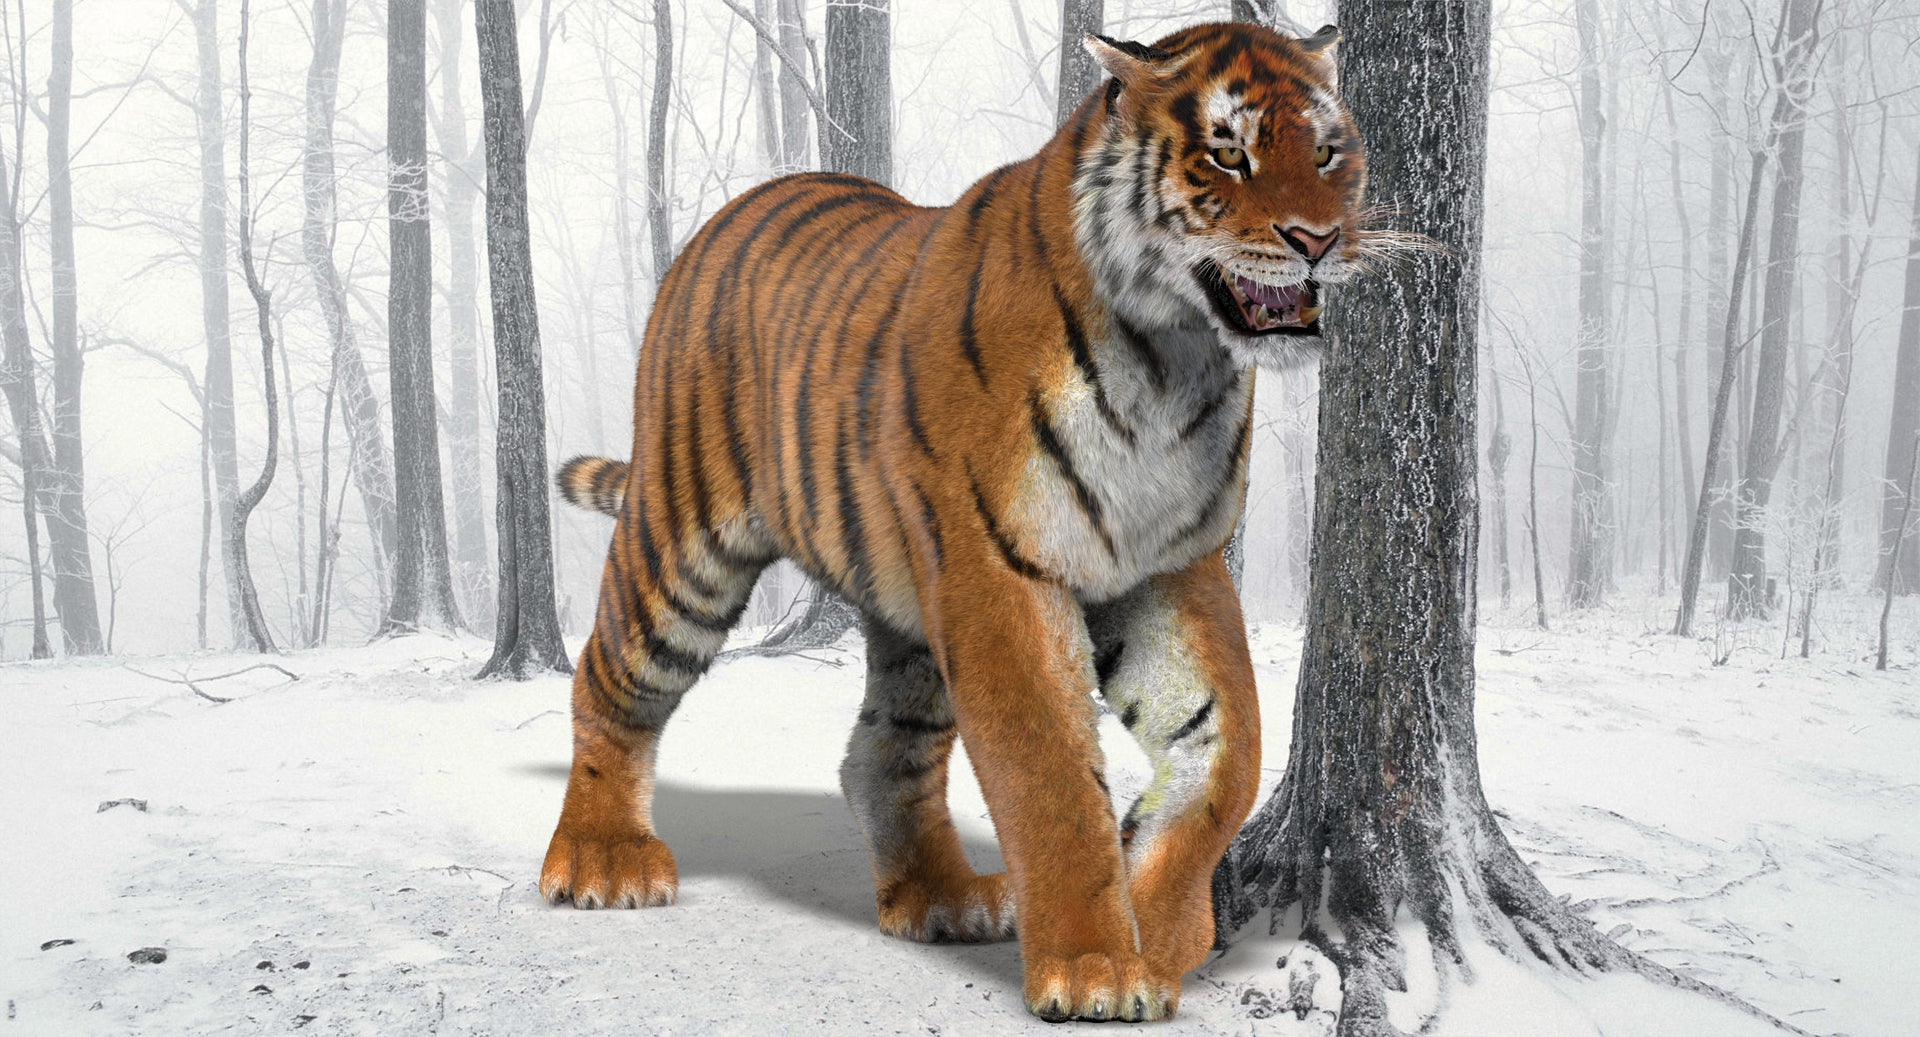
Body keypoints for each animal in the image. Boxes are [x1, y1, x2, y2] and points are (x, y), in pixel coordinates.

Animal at [543, 21, 1368, 1023]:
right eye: (1228, 153)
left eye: (1326, 153)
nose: (1318, 240)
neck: (1174, 359)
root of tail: (723, 216)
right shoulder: (1000, 571)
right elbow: (1050, 776)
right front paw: (1097, 967)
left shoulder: (1170, 566)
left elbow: (1229, 752)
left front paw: (1163, 930)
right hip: (683, 544)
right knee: (609, 679)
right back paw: (602, 862)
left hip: (911, 601)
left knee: (882, 751)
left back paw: (940, 899)